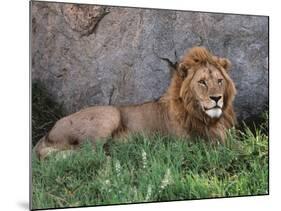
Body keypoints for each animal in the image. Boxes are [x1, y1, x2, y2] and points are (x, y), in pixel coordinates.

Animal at [34, 46, 236, 158]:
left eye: (219, 81)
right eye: (202, 82)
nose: (216, 98)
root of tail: (48, 133)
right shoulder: (189, 144)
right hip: (109, 114)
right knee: (87, 154)